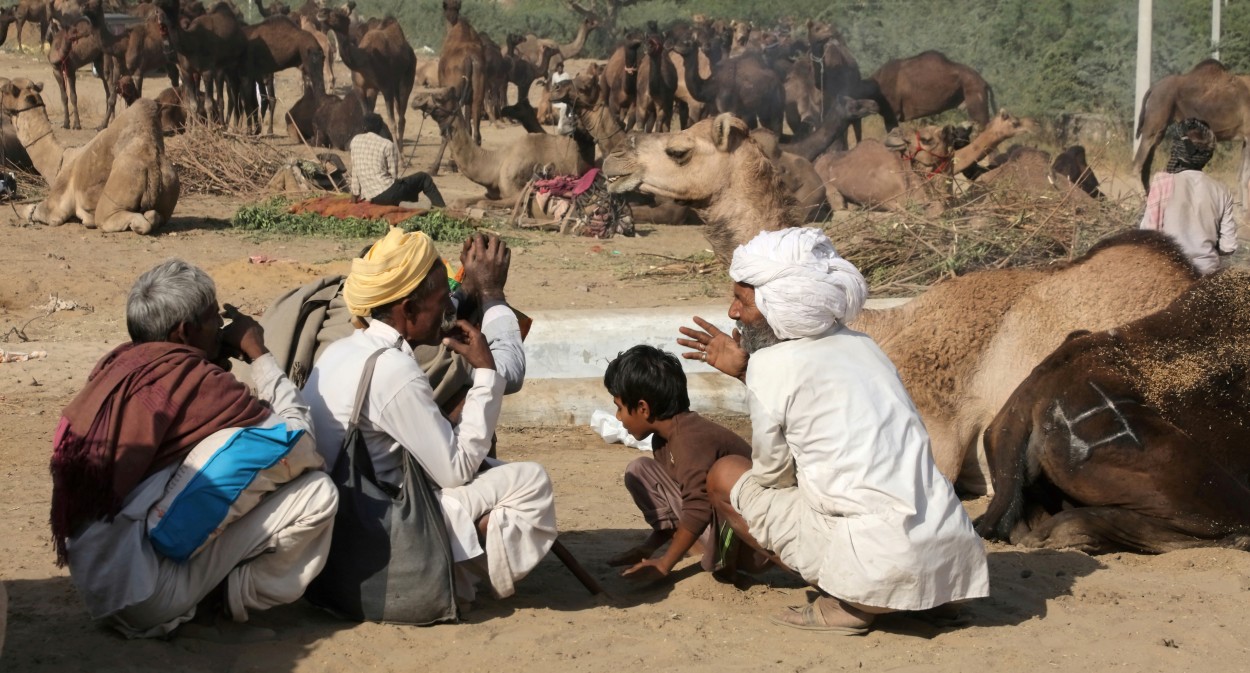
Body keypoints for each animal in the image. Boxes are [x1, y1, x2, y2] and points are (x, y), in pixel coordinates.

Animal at [0, 75, 181, 231]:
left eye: (3, 90)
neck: (60, 161)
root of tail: (154, 167)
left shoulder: (56, 206)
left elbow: (31, 210)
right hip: (171, 184)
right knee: (157, 215)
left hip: (122, 185)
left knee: (121, 219)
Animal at [1135, 58, 1250, 205]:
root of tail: (1153, 88)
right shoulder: (1249, 134)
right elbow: (1246, 175)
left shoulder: (1245, 137)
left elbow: (1241, 174)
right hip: (1155, 119)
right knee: (1137, 163)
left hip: (1159, 129)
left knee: (1146, 164)